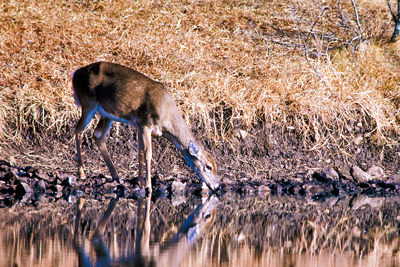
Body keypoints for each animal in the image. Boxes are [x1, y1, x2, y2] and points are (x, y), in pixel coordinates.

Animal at [73, 62, 220, 193]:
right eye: (208, 167)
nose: (216, 186)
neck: (166, 117)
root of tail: (75, 74)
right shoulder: (145, 123)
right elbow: (148, 153)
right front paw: (149, 185)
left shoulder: (139, 125)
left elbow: (140, 152)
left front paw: (141, 182)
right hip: (88, 103)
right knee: (79, 130)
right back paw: (82, 173)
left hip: (107, 114)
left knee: (98, 135)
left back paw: (116, 176)